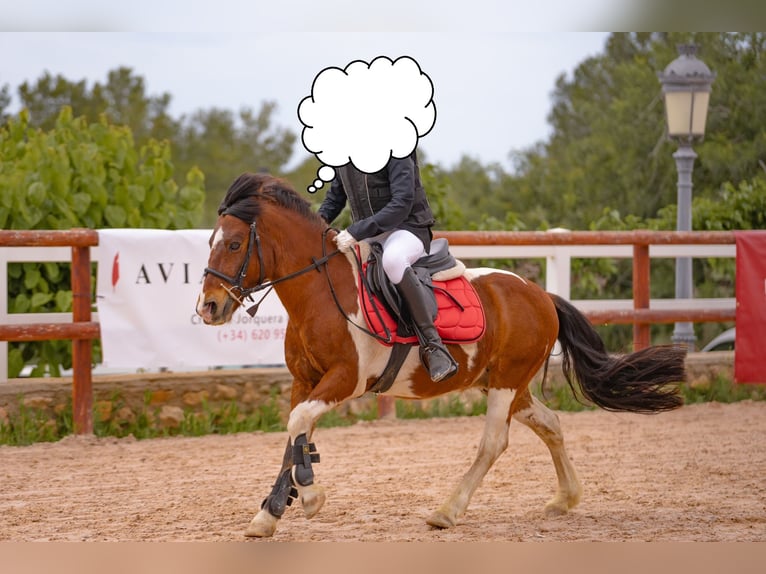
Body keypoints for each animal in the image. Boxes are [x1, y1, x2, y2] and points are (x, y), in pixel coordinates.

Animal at [195, 172, 688, 540]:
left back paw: (448, 511)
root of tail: (540, 294)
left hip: (506, 383)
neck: (321, 292)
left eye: (235, 244)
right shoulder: (305, 381)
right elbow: (293, 435)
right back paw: (564, 498)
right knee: (550, 424)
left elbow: (298, 426)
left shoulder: (345, 379)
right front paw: (269, 515)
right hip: (505, 384)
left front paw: (311, 498)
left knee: (493, 443)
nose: (209, 307)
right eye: (211, 241)